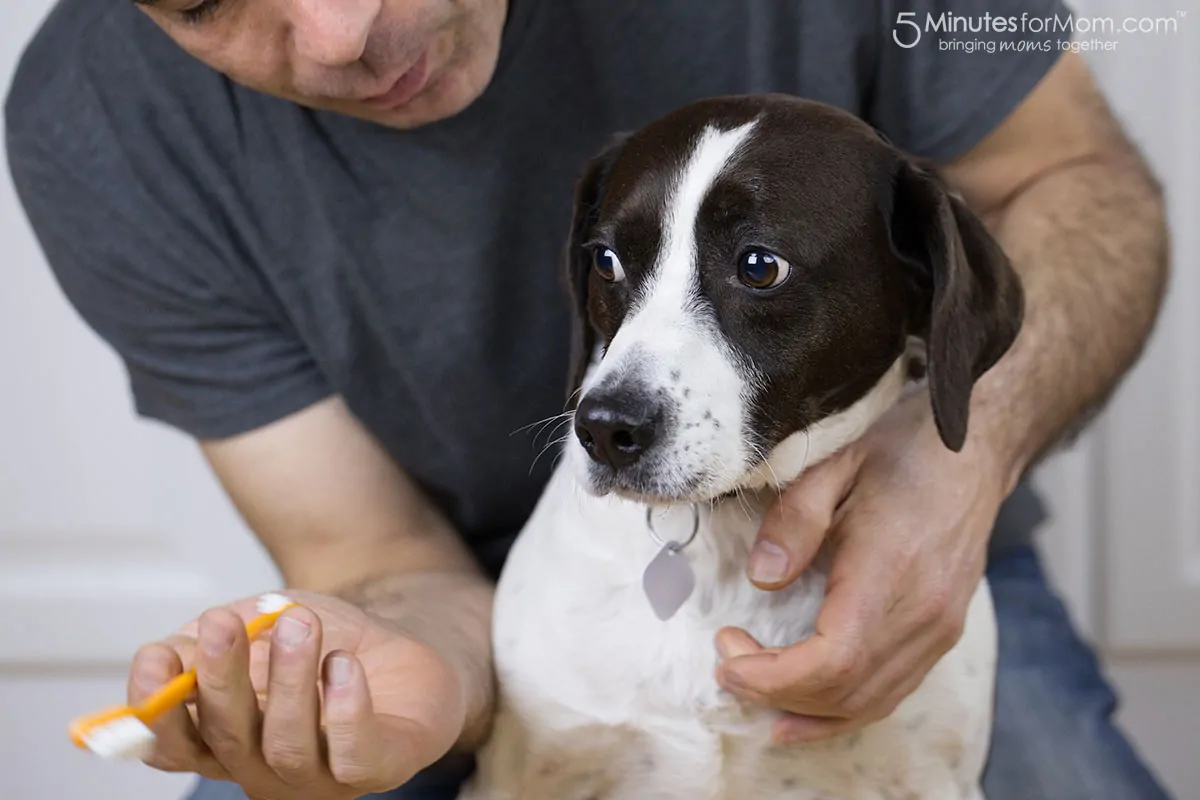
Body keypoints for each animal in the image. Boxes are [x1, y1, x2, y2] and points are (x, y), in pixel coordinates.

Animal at [456, 95, 1022, 800]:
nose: (605, 430)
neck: (725, 542)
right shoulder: (531, 760)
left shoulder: (929, 777)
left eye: (759, 266)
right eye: (607, 260)